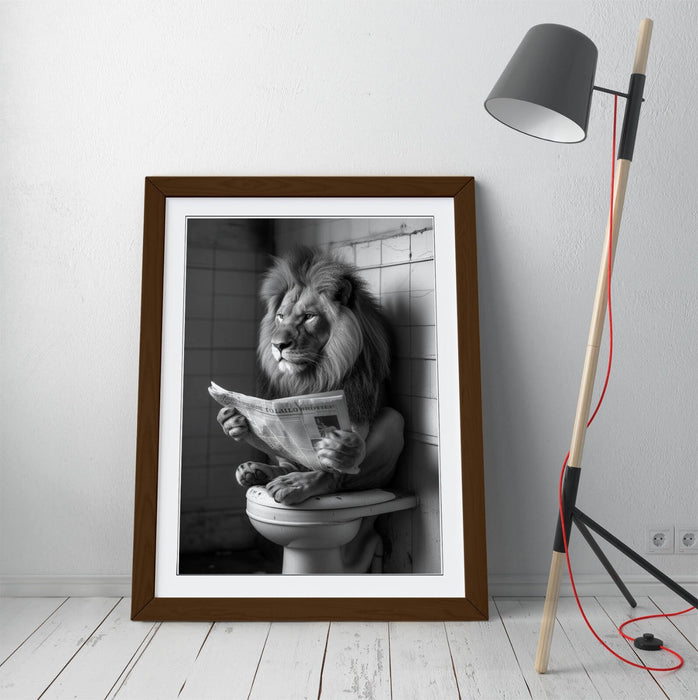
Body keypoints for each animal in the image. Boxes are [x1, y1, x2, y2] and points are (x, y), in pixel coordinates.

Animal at [217, 246, 405, 505]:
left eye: (308, 317)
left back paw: (296, 482)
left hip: (390, 433)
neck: (312, 374)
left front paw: (342, 450)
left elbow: (340, 456)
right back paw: (256, 471)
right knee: (289, 463)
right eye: (280, 316)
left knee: (335, 478)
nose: (278, 345)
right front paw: (232, 421)